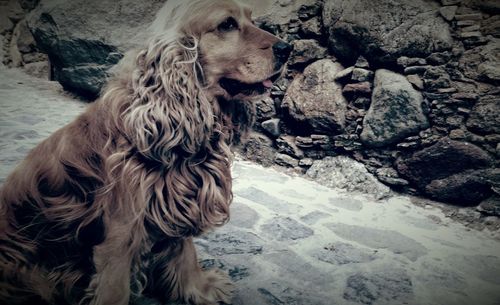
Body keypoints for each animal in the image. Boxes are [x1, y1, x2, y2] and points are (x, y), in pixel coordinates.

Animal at [0, 1, 292, 302]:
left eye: (251, 19)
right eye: (227, 24)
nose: (287, 48)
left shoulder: (178, 200)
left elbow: (186, 252)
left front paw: (200, 288)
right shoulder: (121, 231)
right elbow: (115, 289)